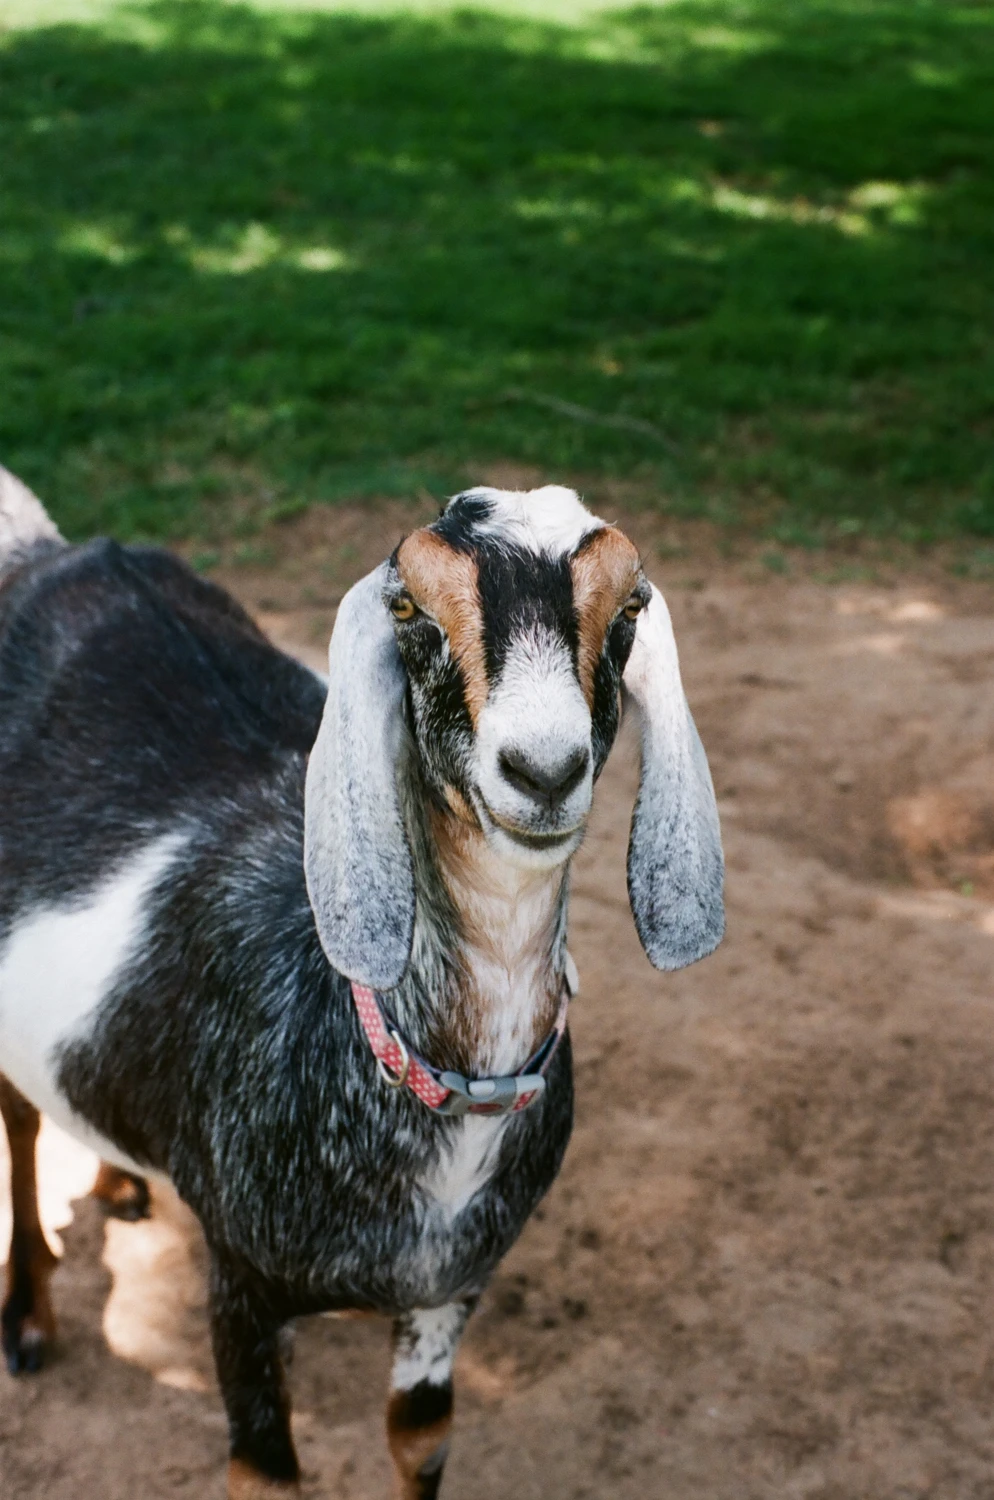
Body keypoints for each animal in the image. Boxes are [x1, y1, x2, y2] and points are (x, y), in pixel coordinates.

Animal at [0, 467, 723, 1498]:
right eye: (410, 606)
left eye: (626, 605)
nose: (544, 769)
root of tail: (50, 549)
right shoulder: (240, 1284)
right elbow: (265, 1472)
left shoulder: (448, 1293)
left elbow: (420, 1439)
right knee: (19, 1117)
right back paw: (27, 1315)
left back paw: (122, 1177)